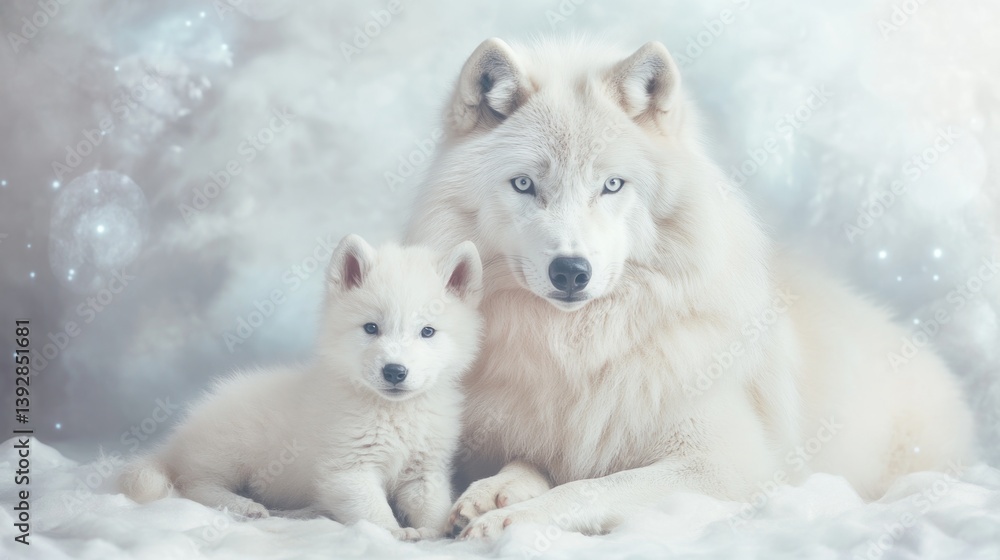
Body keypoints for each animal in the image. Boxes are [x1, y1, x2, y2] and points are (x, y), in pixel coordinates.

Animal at [118, 235, 484, 540]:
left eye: (427, 332)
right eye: (371, 328)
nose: (394, 371)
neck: (393, 411)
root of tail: (179, 440)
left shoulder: (425, 471)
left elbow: (434, 506)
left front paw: (440, 531)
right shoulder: (348, 470)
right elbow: (373, 508)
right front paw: (394, 532)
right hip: (230, 450)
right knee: (192, 483)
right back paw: (243, 505)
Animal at [405, 38, 976, 539]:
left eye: (612, 185)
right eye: (525, 184)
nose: (571, 271)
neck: (582, 351)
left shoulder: (726, 466)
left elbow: (593, 487)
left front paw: (512, 519)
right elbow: (532, 461)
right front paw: (494, 493)